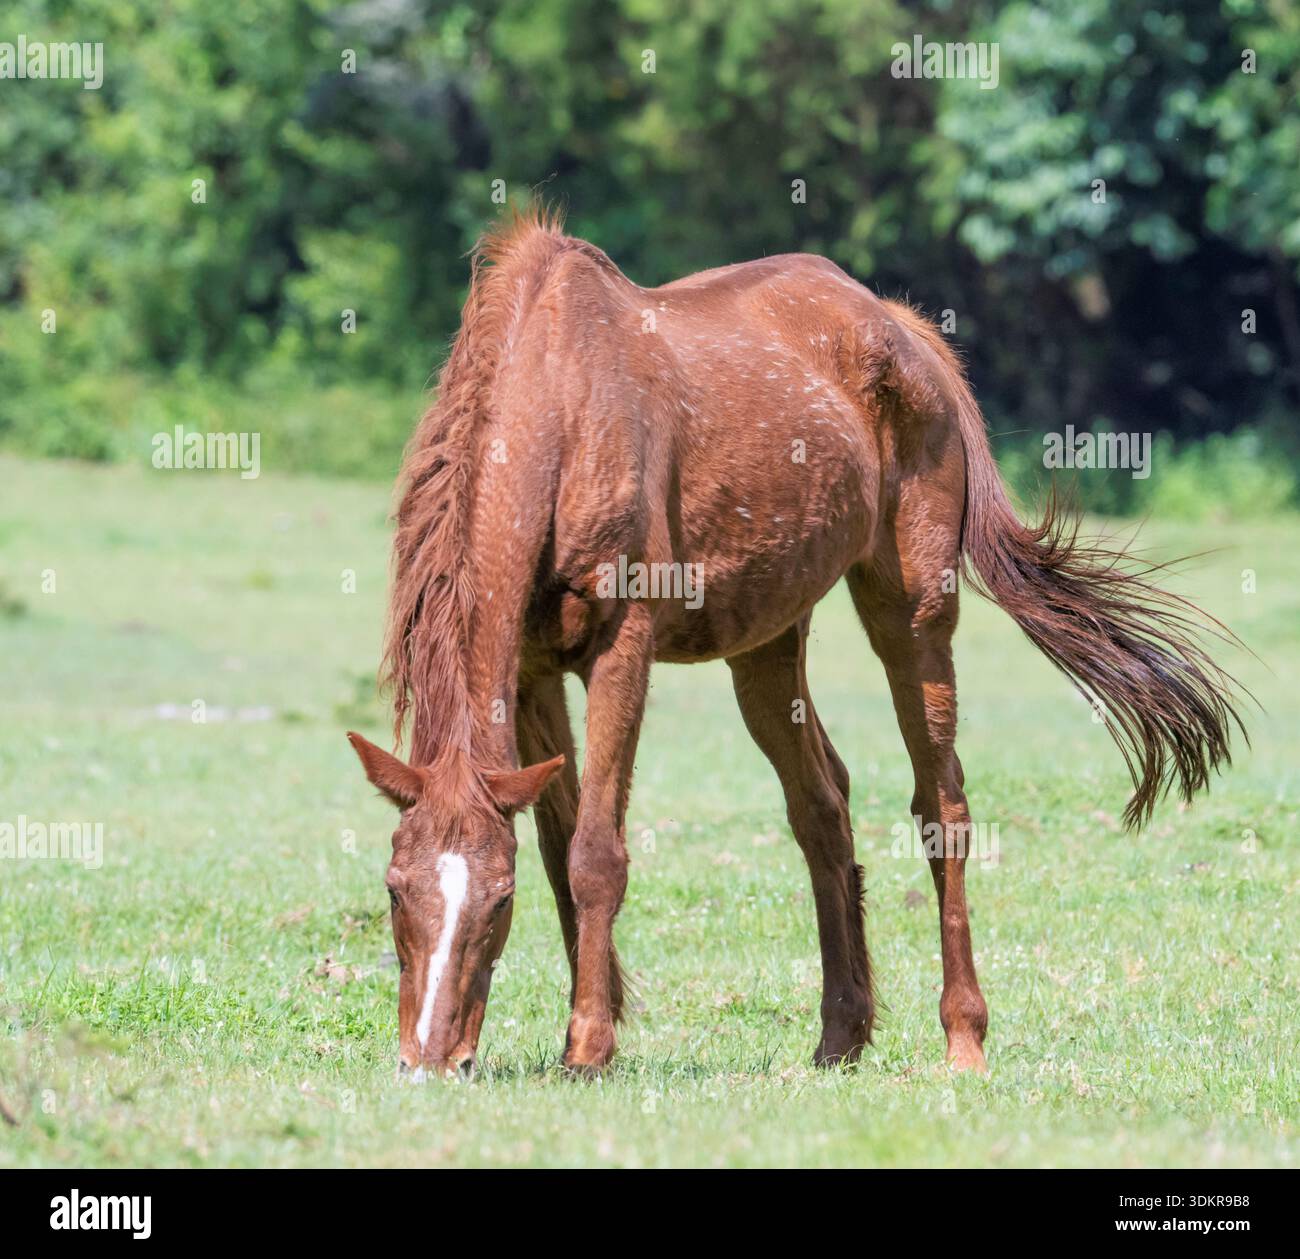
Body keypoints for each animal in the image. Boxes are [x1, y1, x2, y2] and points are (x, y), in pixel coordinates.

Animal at [347, 205, 1242, 1079]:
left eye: (498, 898)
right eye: (393, 887)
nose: (428, 1060)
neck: (563, 404)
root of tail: (904, 329)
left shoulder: (621, 649)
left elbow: (596, 853)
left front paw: (591, 1048)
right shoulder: (532, 671)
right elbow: (559, 840)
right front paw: (593, 1024)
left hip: (911, 614)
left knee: (941, 805)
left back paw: (963, 1036)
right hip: (768, 643)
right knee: (823, 808)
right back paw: (842, 1033)